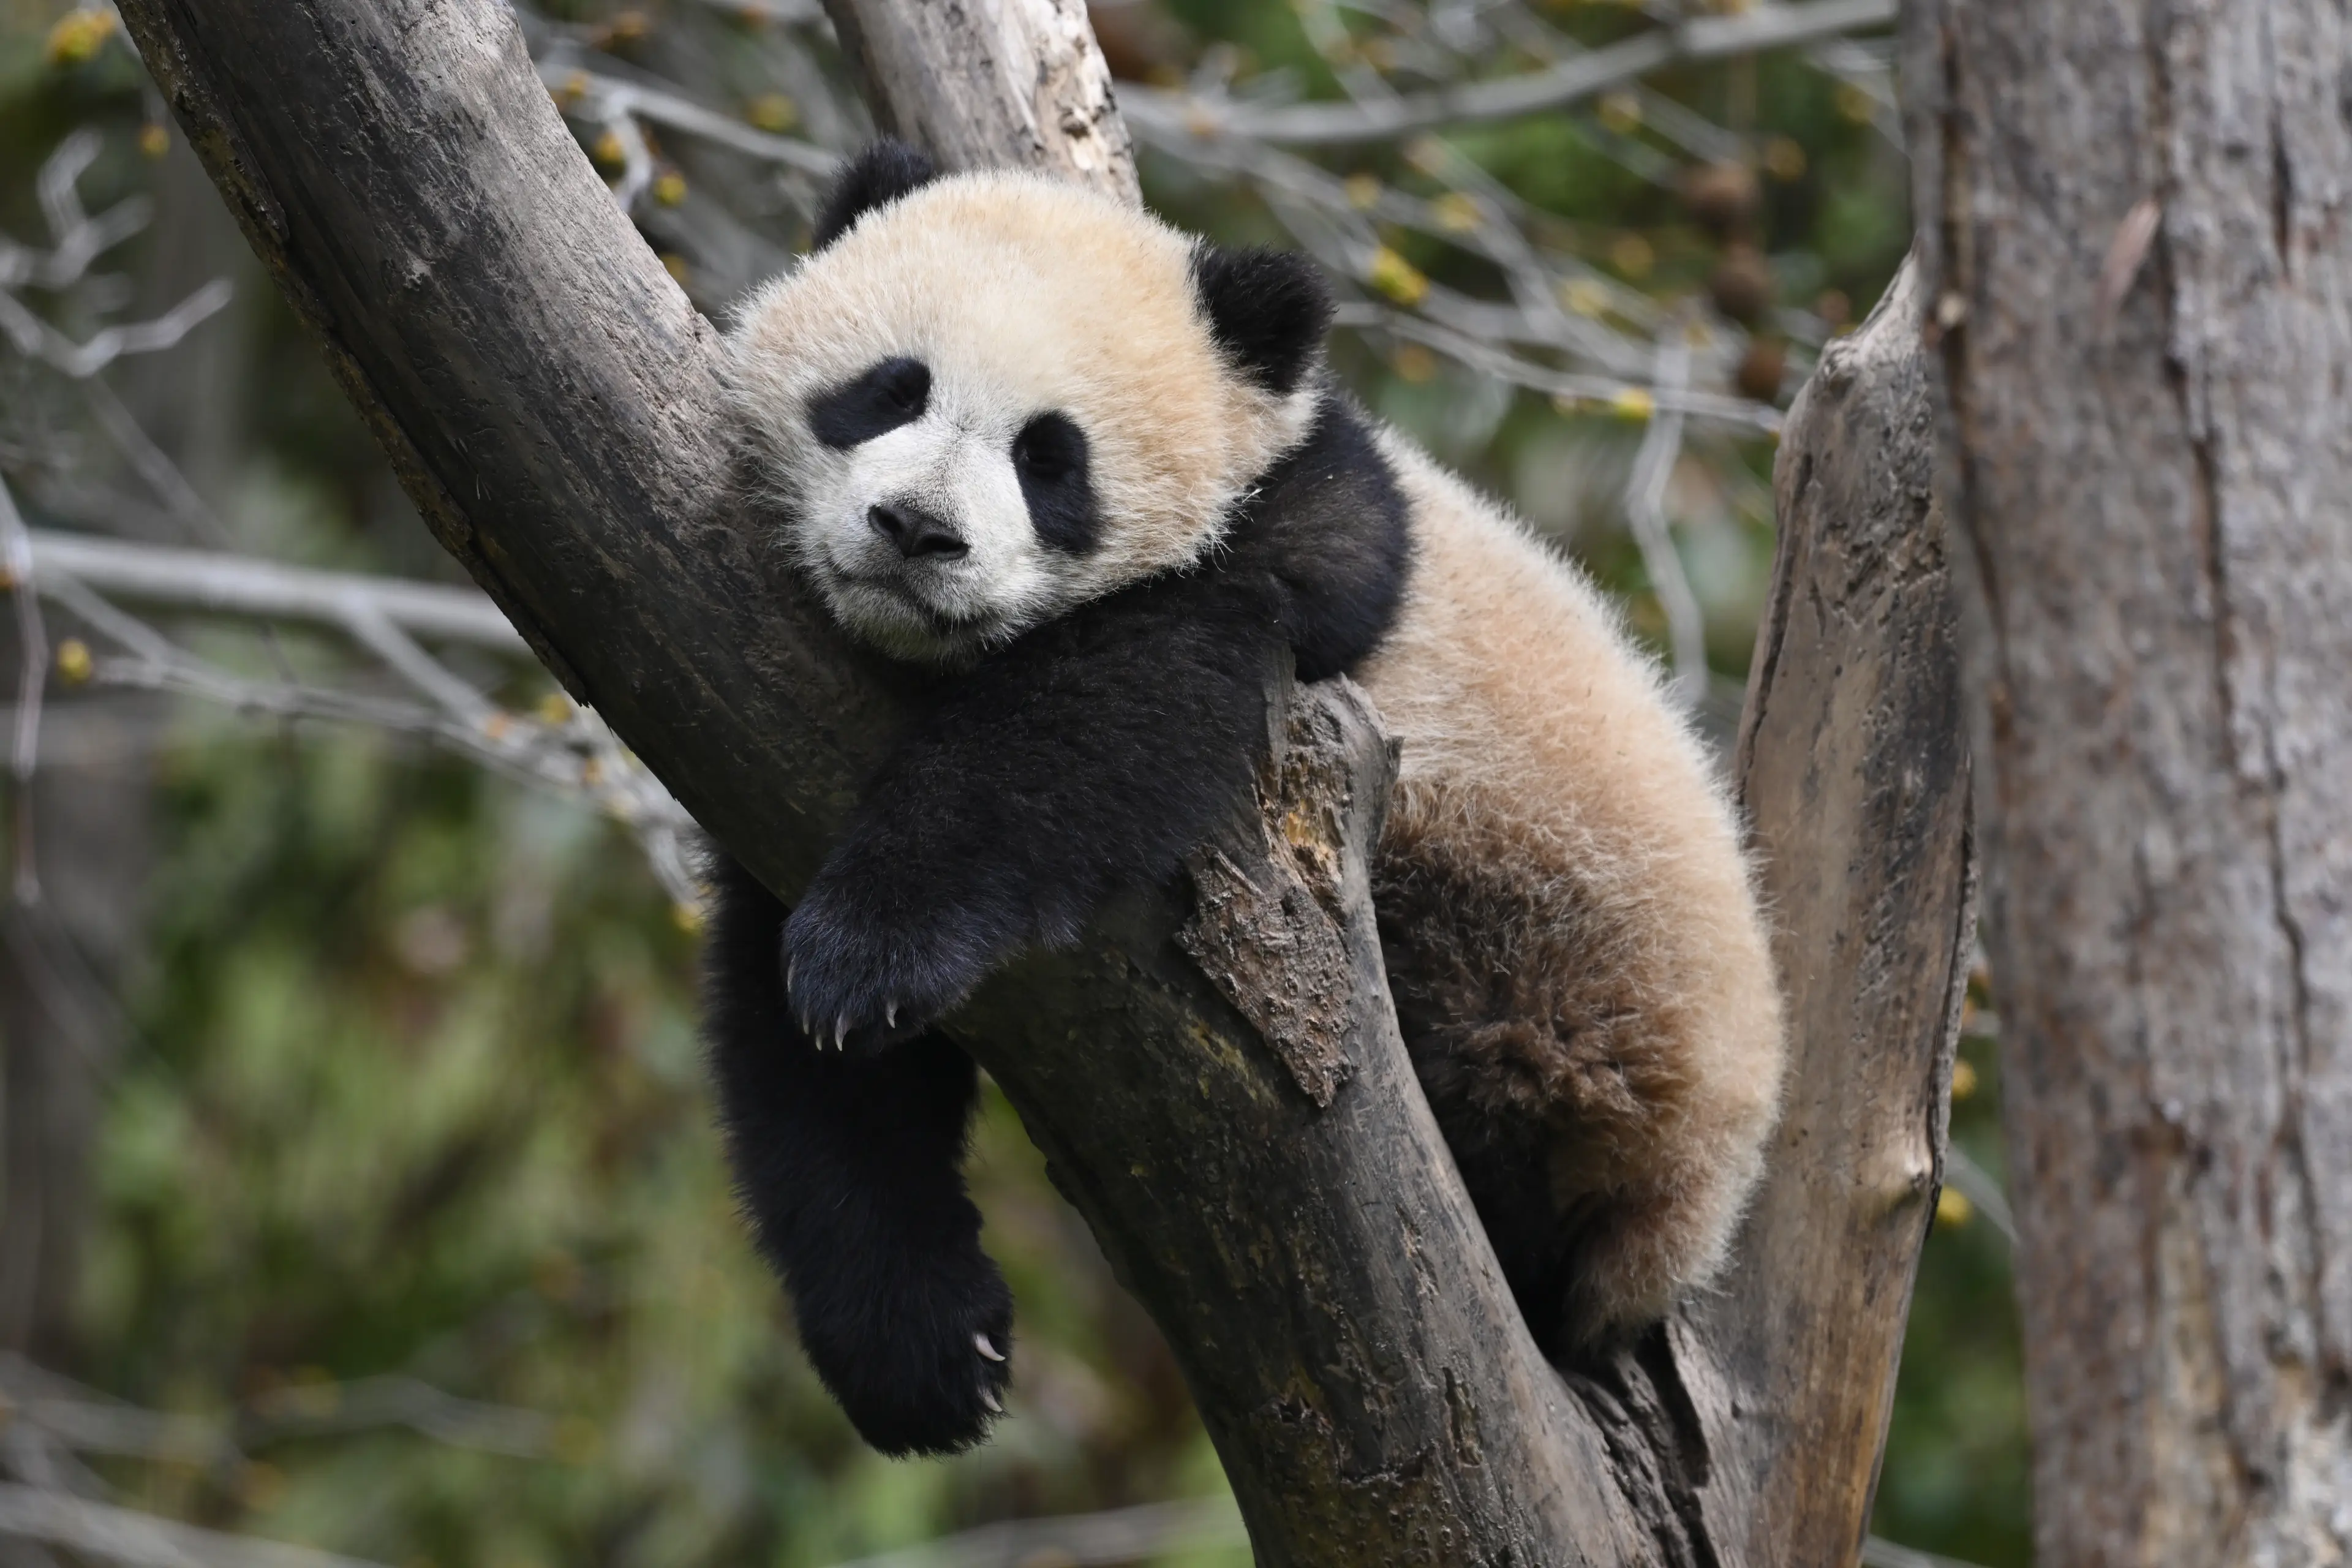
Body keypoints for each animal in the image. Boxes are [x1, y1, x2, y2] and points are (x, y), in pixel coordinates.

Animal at [706, 140, 1785, 1458]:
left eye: (1050, 460)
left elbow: (1108, 712)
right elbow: (806, 1058)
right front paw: (922, 1352)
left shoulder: (1297, 562)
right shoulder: (774, 754)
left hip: (1566, 979)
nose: (918, 531)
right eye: (888, 390)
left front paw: (875, 944)